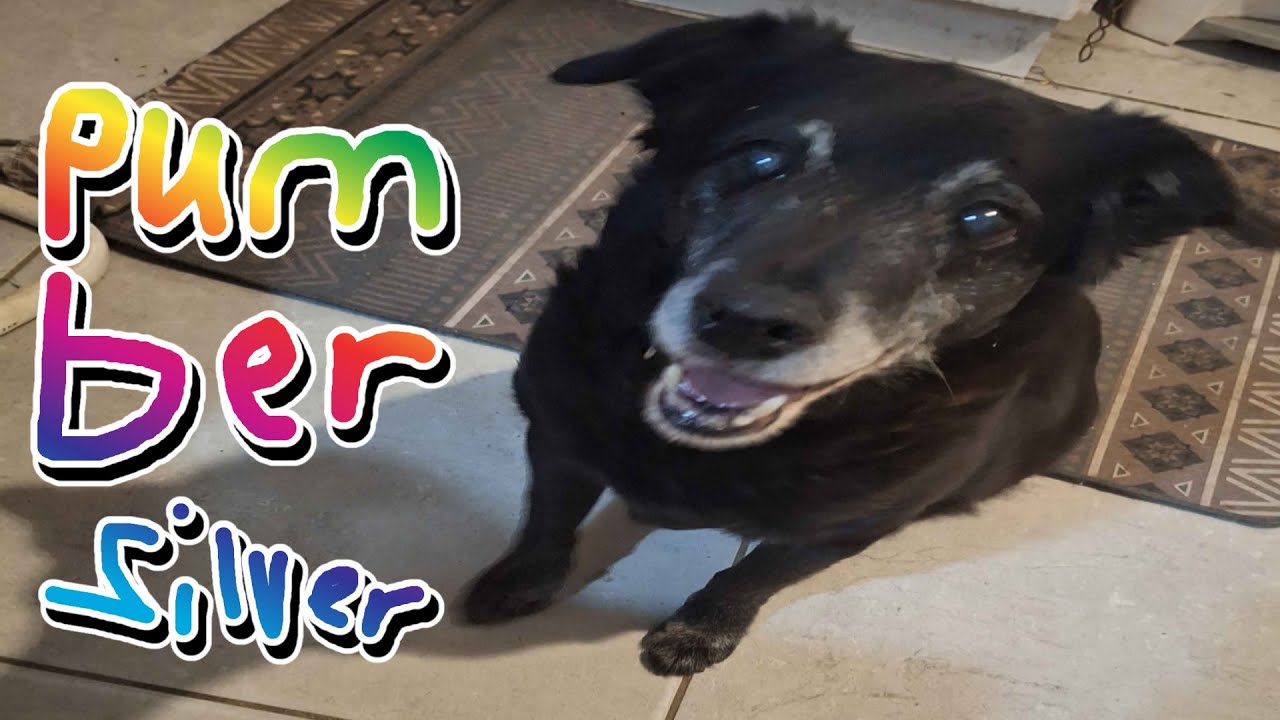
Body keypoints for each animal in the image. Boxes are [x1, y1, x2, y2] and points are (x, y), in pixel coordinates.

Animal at [460, 13, 1272, 676]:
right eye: (760, 157)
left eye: (987, 219)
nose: (745, 321)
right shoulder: (556, 436)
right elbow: (546, 517)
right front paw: (521, 579)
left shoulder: (850, 526)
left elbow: (752, 576)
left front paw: (698, 632)